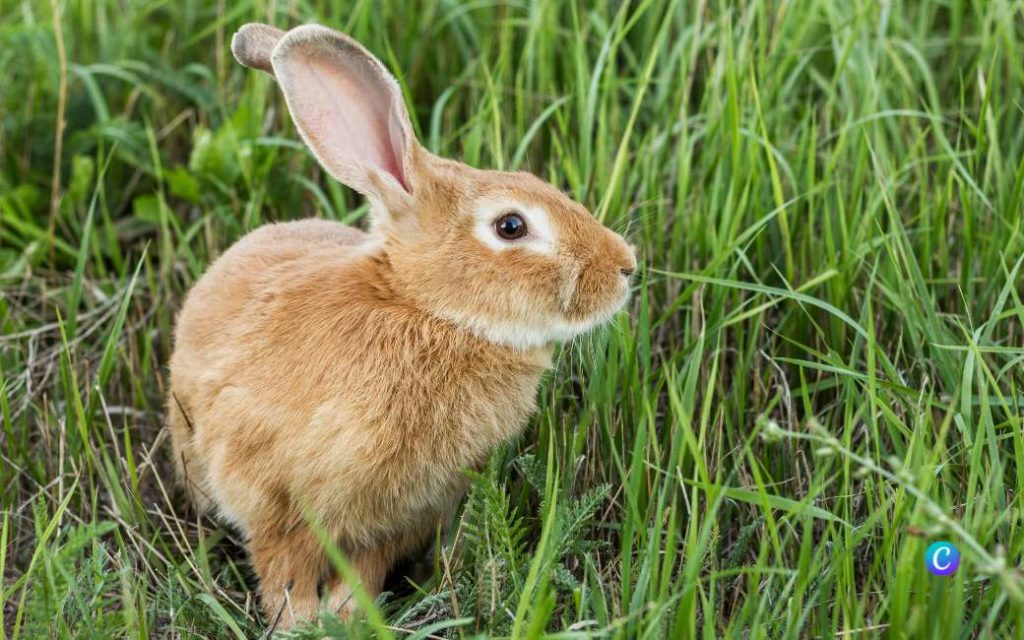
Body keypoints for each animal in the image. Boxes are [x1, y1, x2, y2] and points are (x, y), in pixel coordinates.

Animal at [166, 21, 630, 630]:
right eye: (511, 226)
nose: (625, 268)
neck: (425, 310)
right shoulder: (271, 494)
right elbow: (283, 566)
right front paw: (300, 623)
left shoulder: (402, 513)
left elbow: (366, 566)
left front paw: (348, 617)